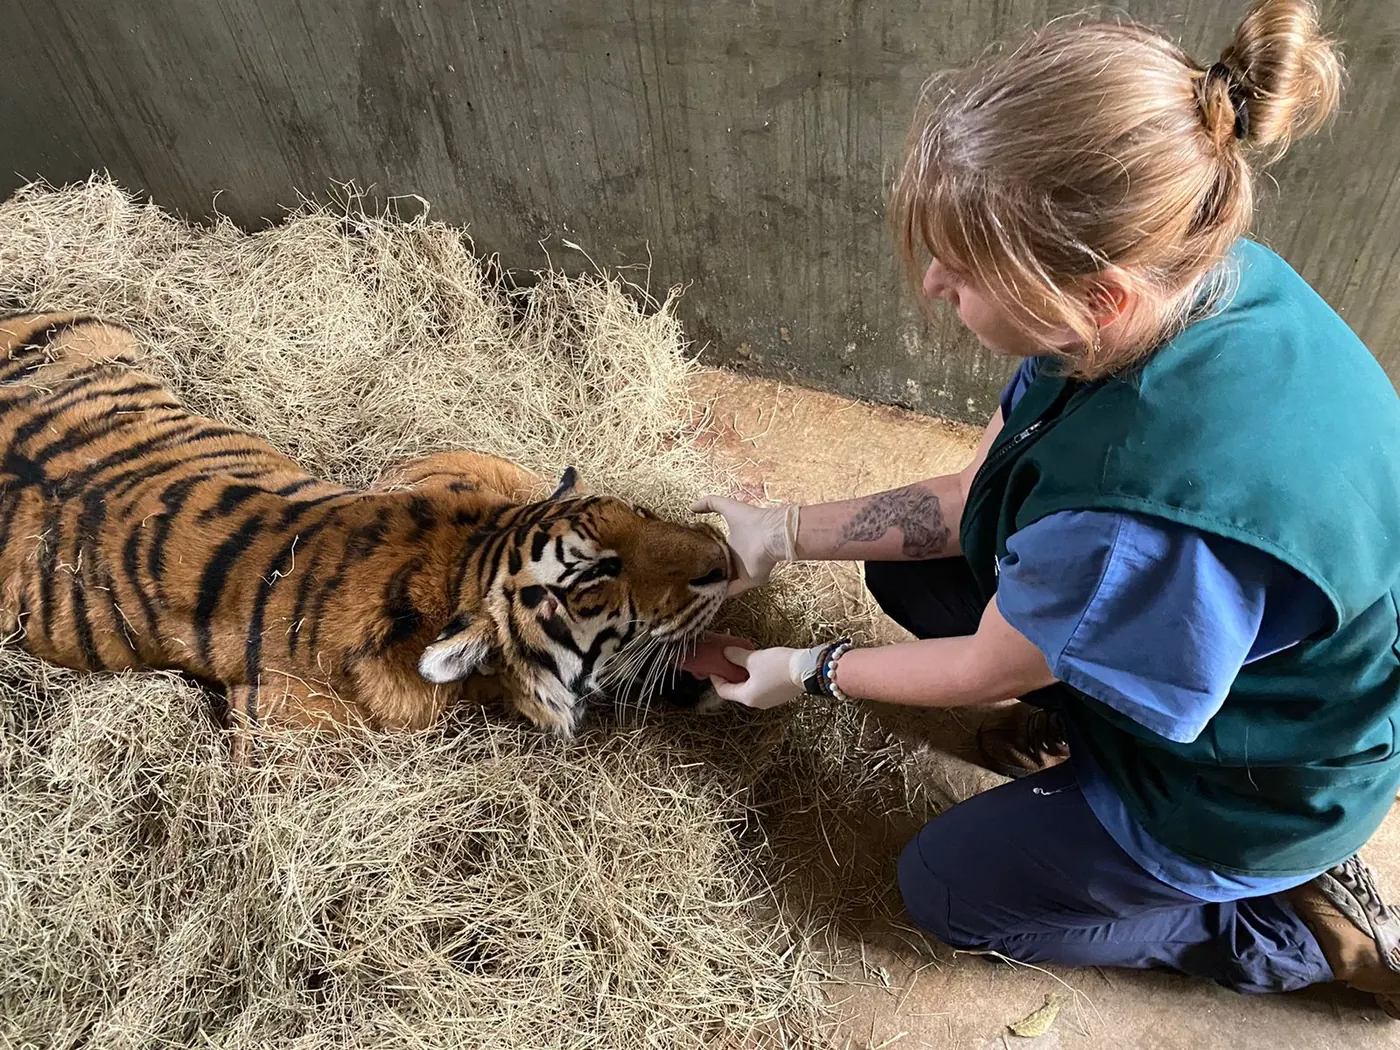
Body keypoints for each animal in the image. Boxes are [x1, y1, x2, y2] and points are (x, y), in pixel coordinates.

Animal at [0, 312, 732, 756]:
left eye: (637, 516)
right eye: (593, 578)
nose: (724, 558)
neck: (457, 562)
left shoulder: (446, 468)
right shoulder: (278, 719)